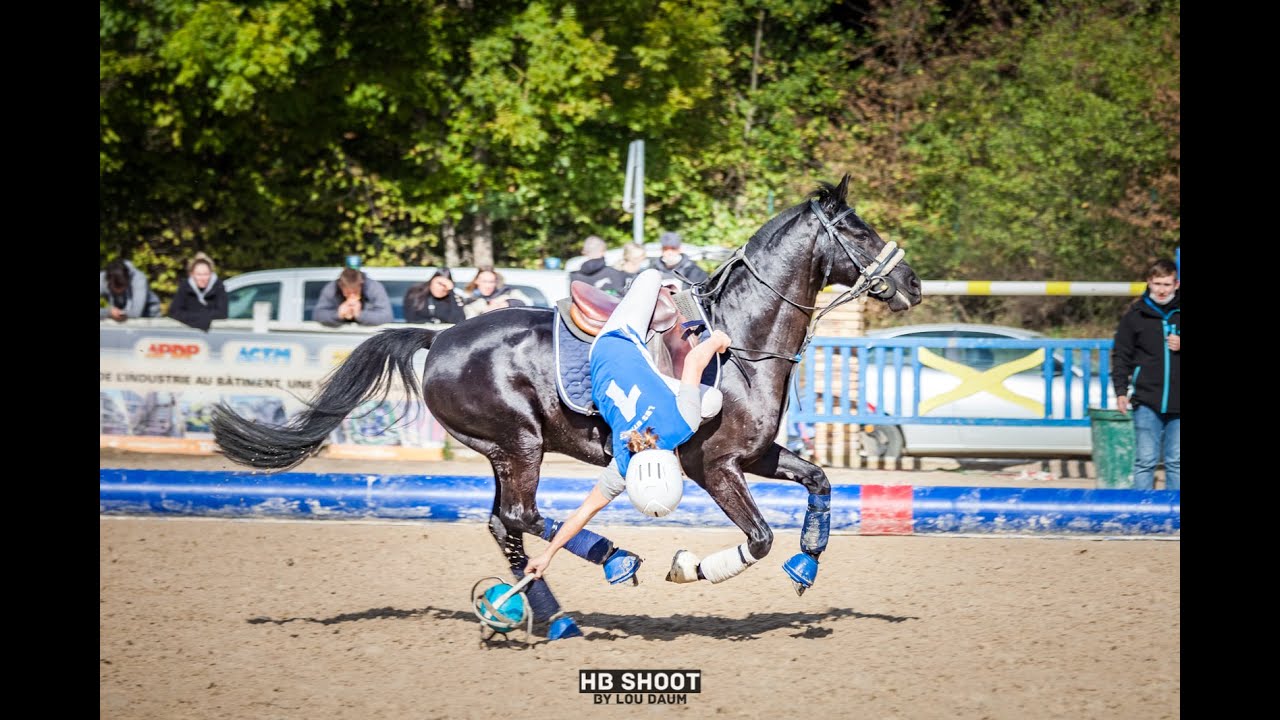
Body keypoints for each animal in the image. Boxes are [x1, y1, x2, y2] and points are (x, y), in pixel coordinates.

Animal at [212, 175, 922, 627]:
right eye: (856, 228)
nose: (913, 282)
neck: (739, 341)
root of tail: (440, 337)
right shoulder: (713, 465)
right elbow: (758, 538)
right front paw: (690, 568)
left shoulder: (755, 454)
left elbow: (819, 480)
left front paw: (808, 561)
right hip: (519, 444)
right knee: (522, 516)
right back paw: (612, 561)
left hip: (503, 453)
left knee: (504, 523)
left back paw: (546, 616)